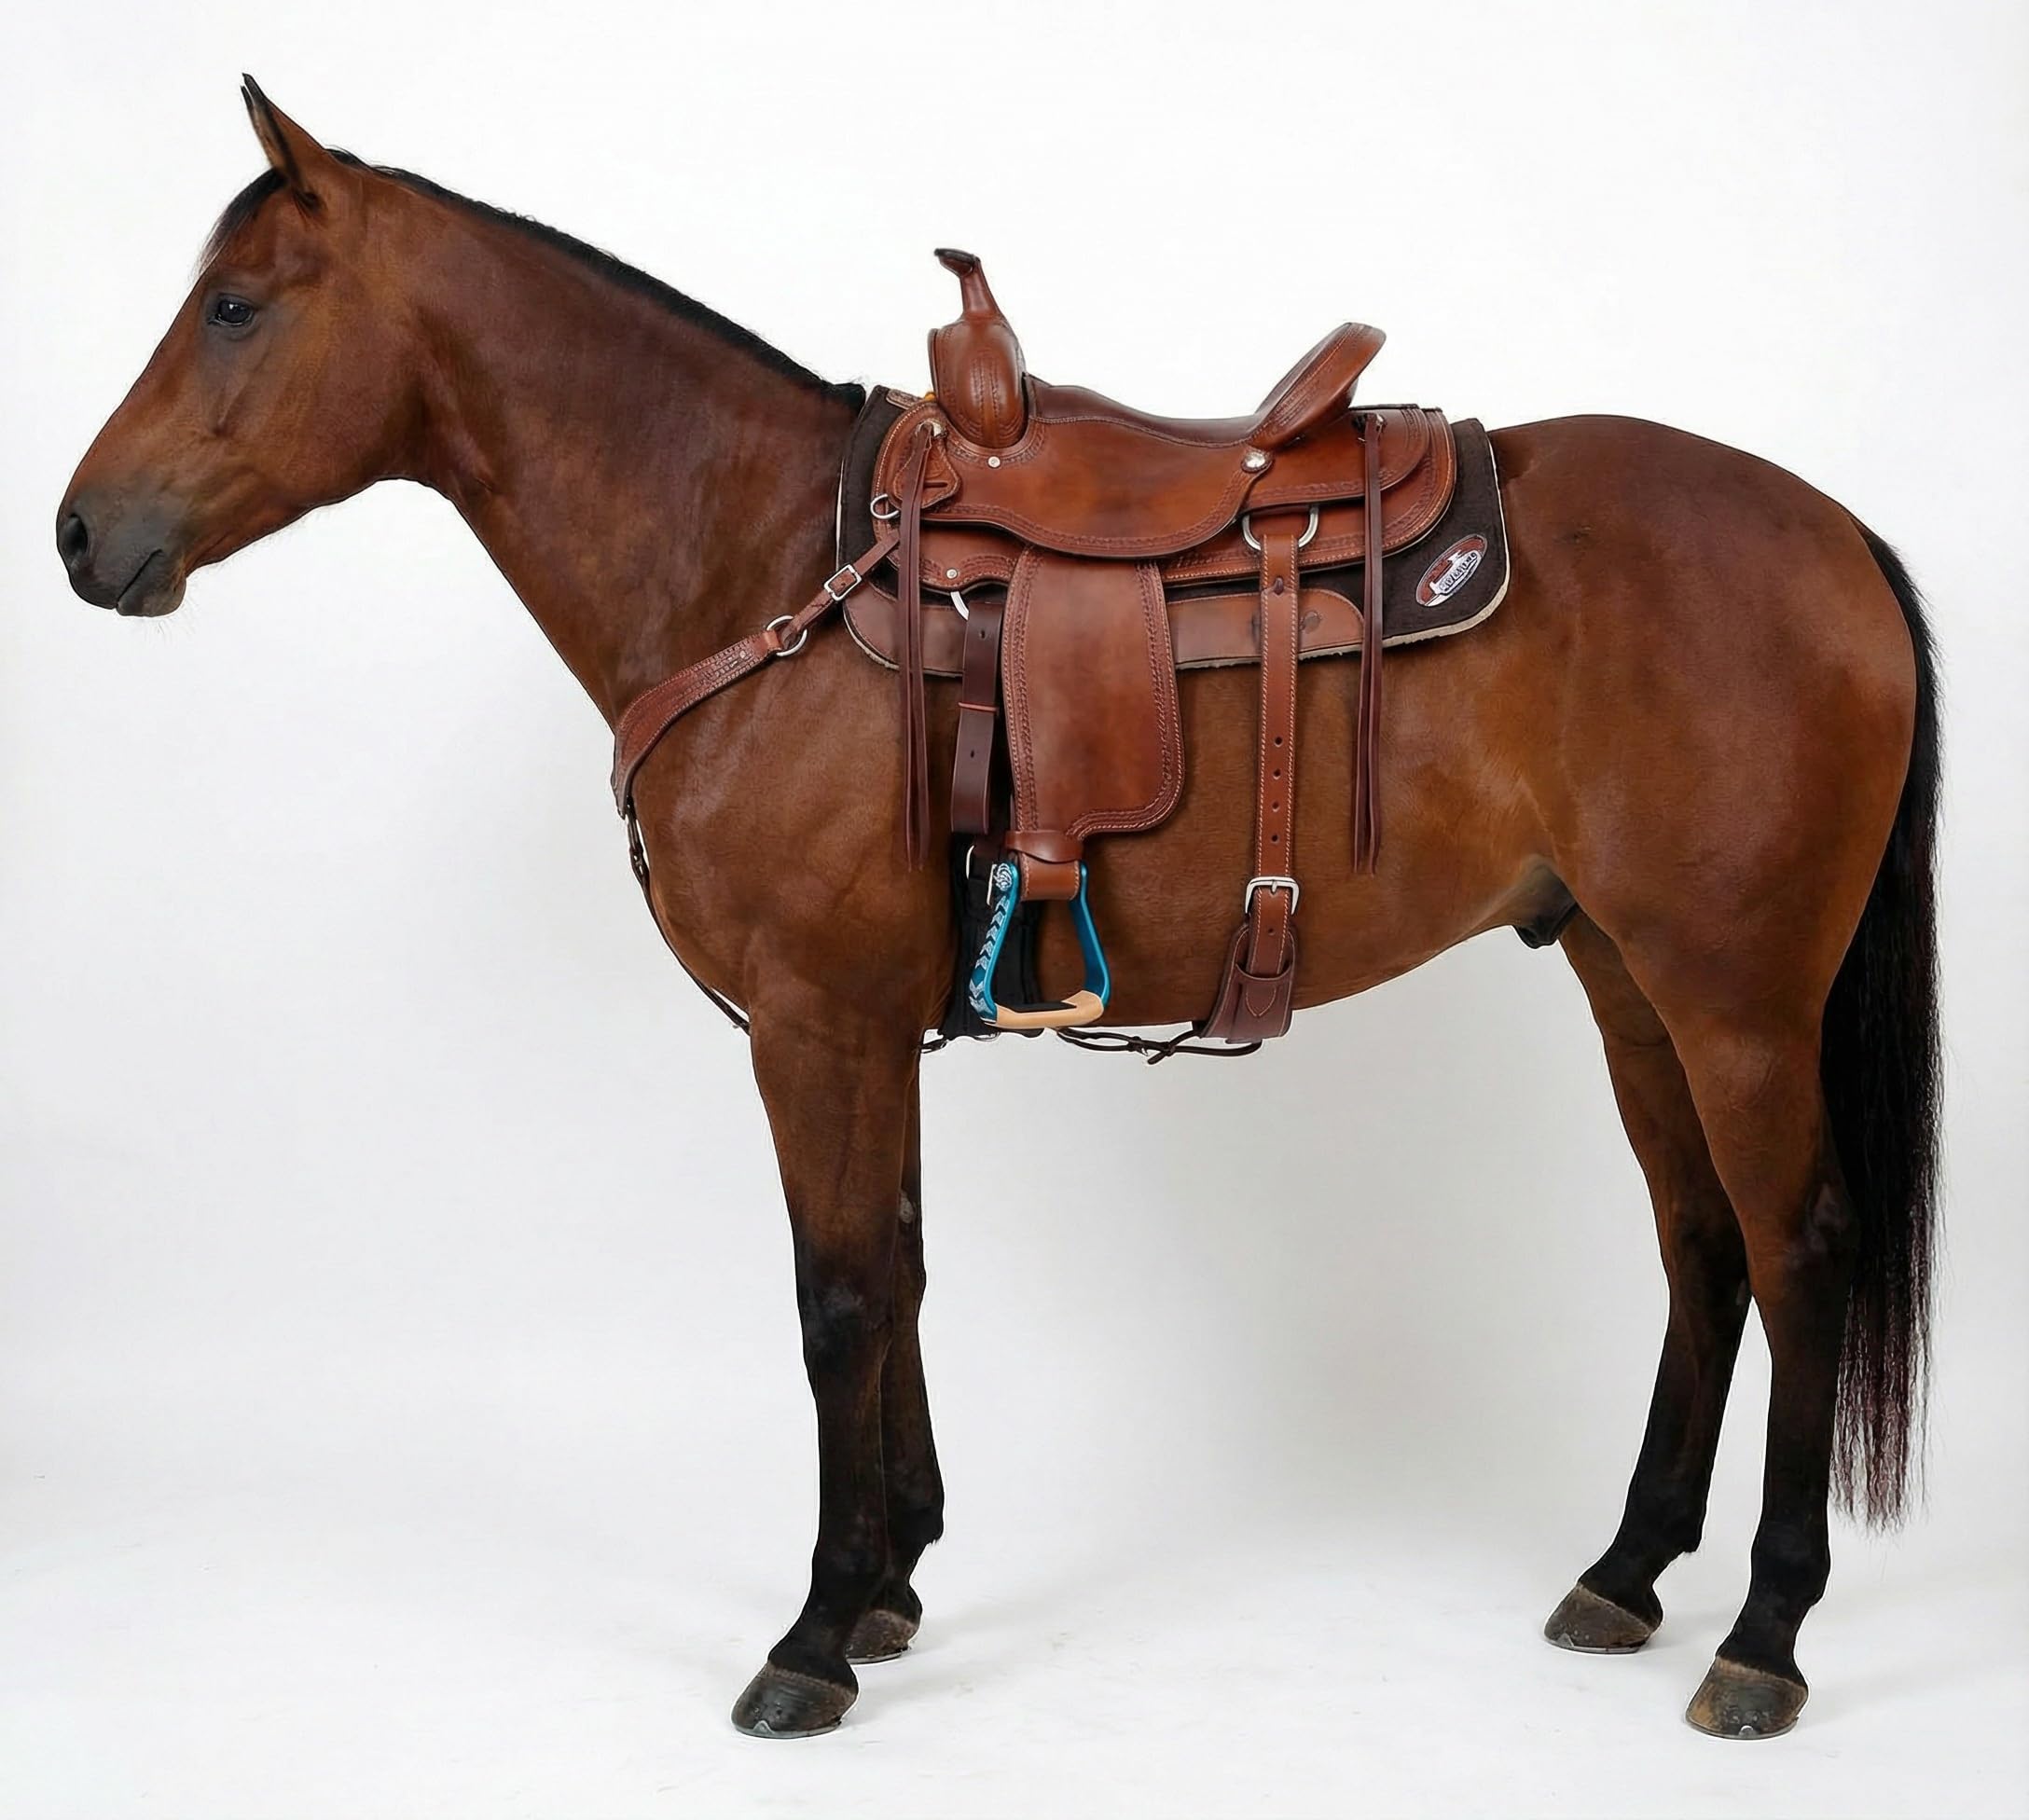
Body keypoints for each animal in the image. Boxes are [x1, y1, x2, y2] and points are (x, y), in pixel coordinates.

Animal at [57, 82, 1940, 1742]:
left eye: (234, 306)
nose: (79, 534)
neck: (762, 567)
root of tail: (1834, 528)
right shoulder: (870, 1028)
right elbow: (896, 1269)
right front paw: (894, 1582)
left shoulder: (812, 1024)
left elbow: (830, 1301)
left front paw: (813, 1635)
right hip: (1628, 976)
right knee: (1700, 1248)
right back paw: (1626, 1572)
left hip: (1738, 997)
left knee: (1799, 1249)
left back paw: (1763, 1634)